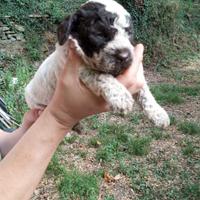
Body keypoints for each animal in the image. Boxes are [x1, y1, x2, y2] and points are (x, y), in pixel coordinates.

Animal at [24, 0, 170, 128]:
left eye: (129, 32)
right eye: (99, 34)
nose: (125, 57)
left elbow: (145, 90)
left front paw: (158, 113)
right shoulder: (80, 69)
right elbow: (101, 76)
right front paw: (121, 97)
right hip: (37, 104)